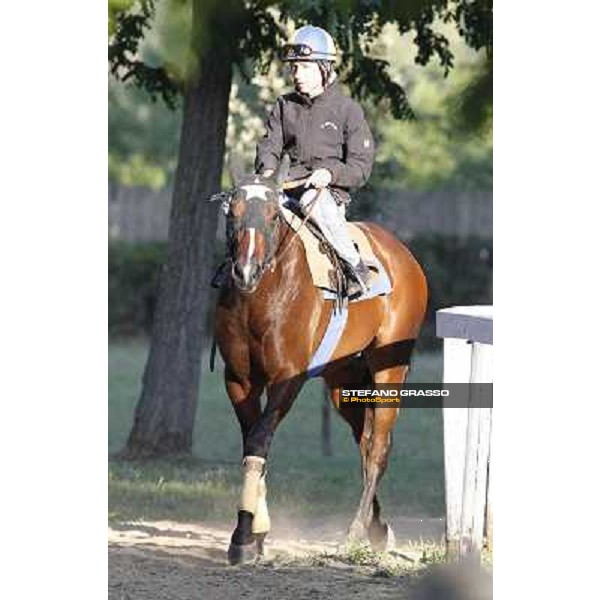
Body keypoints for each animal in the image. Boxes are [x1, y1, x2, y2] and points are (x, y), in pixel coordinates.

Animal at [213, 158, 428, 564]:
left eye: (272, 216)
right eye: (231, 213)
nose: (244, 272)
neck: (261, 298)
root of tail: (403, 255)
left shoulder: (288, 378)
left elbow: (259, 440)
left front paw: (244, 537)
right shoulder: (238, 379)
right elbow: (251, 443)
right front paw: (256, 534)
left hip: (389, 368)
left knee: (378, 447)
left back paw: (356, 530)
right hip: (344, 378)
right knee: (364, 440)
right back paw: (378, 528)